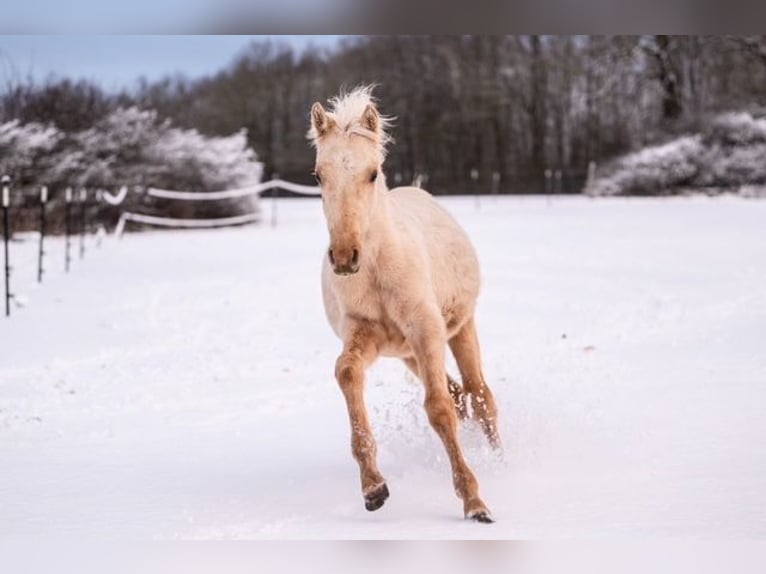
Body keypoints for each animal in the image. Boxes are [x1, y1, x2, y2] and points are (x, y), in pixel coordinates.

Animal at [308, 86, 500, 528]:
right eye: (318, 175)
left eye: (372, 173)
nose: (344, 257)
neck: (380, 268)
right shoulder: (365, 334)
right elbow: (346, 373)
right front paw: (373, 488)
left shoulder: (426, 330)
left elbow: (440, 410)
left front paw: (475, 503)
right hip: (407, 354)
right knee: (462, 395)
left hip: (459, 328)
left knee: (480, 396)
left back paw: (500, 458)